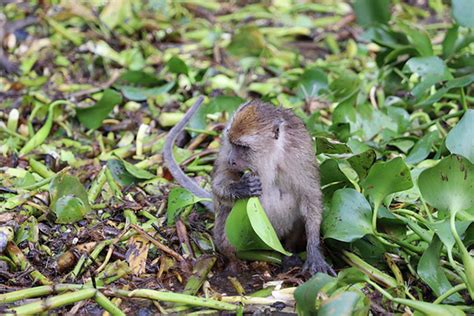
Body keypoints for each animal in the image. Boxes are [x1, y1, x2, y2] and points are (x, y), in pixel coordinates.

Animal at [165, 97, 336, 276]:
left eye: (243, 147)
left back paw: (289, 254)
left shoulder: (300, 154)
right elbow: (219, 185)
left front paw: (314, 250)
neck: (271, 156)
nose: (232, 160)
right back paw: (233, 264)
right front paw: (240, 188)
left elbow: (311, 197)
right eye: (233, 144)